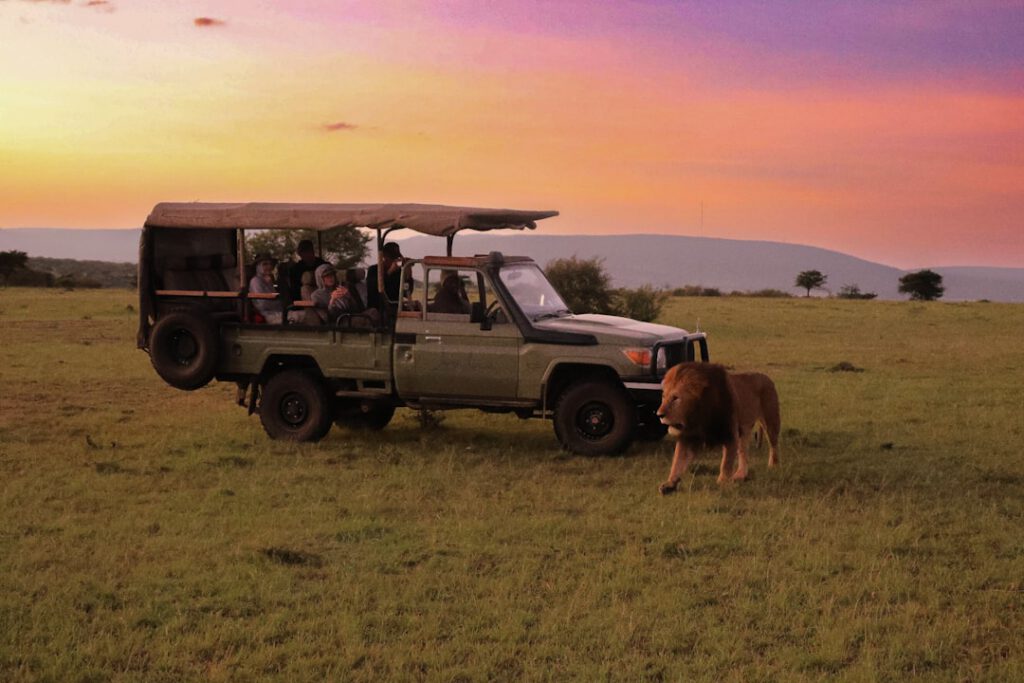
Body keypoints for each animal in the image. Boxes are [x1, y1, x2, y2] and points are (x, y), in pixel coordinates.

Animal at [656, 363, 780, 494]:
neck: (699, 417)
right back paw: (740, 475)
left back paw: (773, 466)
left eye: (675, 398)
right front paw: (670, 483)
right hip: (744, 430)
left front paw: (722, 483)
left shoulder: (730, 433)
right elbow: (678, 461)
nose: (659, 415)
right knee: (743, 452)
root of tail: (766, 377)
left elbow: (726, 463)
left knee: (774, 446)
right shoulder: (688, 437)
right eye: (663, 397)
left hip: (770, 422)